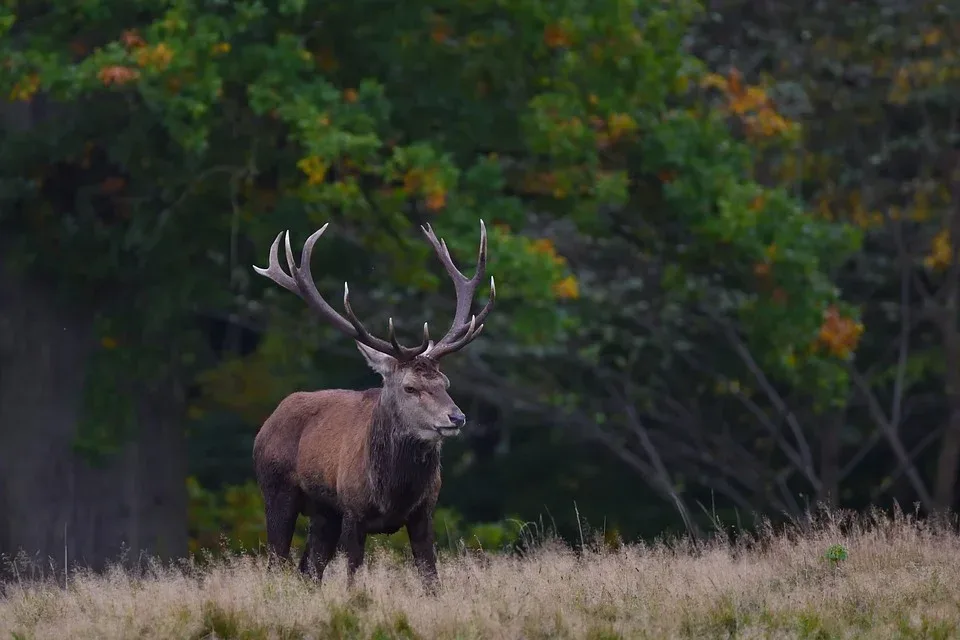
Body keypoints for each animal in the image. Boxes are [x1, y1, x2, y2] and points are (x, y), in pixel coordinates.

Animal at [251, 219, 494, 592]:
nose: (457, 417)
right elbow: (353, 576)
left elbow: (431, 578)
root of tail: (267, 423)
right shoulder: (353, 511)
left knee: (309, 569)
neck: (392, 493)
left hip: (324, 513)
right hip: (277, 491)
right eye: (410, 387)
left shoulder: (424, 512)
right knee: (277, 562)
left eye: (445, 383)